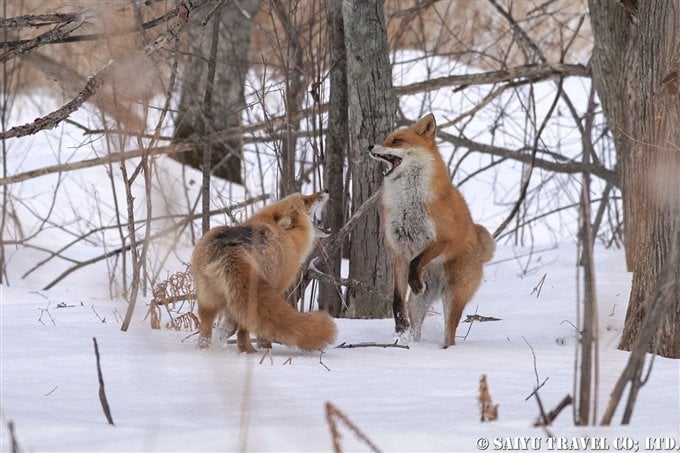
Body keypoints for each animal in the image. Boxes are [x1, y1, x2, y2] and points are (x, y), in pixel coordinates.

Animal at [191, 191, 338, 354]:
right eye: (306, 200)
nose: (326, 191)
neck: (284, 234)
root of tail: (229, 249)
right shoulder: (278, 286)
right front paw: (265, 346)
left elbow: (229, 327)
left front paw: (223, 337)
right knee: (243, 330)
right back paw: (249, 352)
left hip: (207, 300)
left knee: (205, 331)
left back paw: (207, 349)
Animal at [370, 113, 492, 346]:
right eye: (387, 139)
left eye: (397, 141)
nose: (370, 146)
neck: (407, 204)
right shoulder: (399, 251)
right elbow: (397, 299)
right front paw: (400, 326)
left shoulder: (442, 240)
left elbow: (417, 261)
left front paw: (416, 283)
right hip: (418, 304)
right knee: (417, 324)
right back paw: (414, 344)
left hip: (453, 296)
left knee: (450, 335)